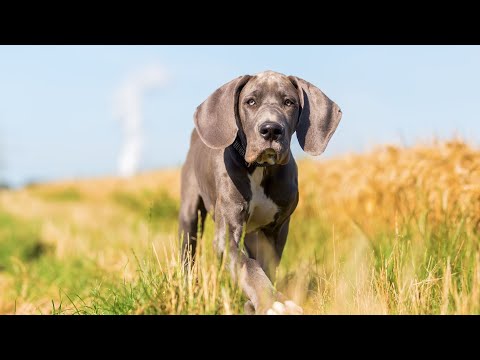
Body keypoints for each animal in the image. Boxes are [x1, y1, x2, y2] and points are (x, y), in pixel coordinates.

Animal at [179, 70, 342, 316]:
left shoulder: (277, 230)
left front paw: (260, 301)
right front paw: (274, 302)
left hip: (254, 234)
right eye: (250, 102)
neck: (260, 169)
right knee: (188, 251)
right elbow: (248, 265)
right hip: (190, 213)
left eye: (289, 102)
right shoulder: (227, 233)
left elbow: (267, 266)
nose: (271, 129)